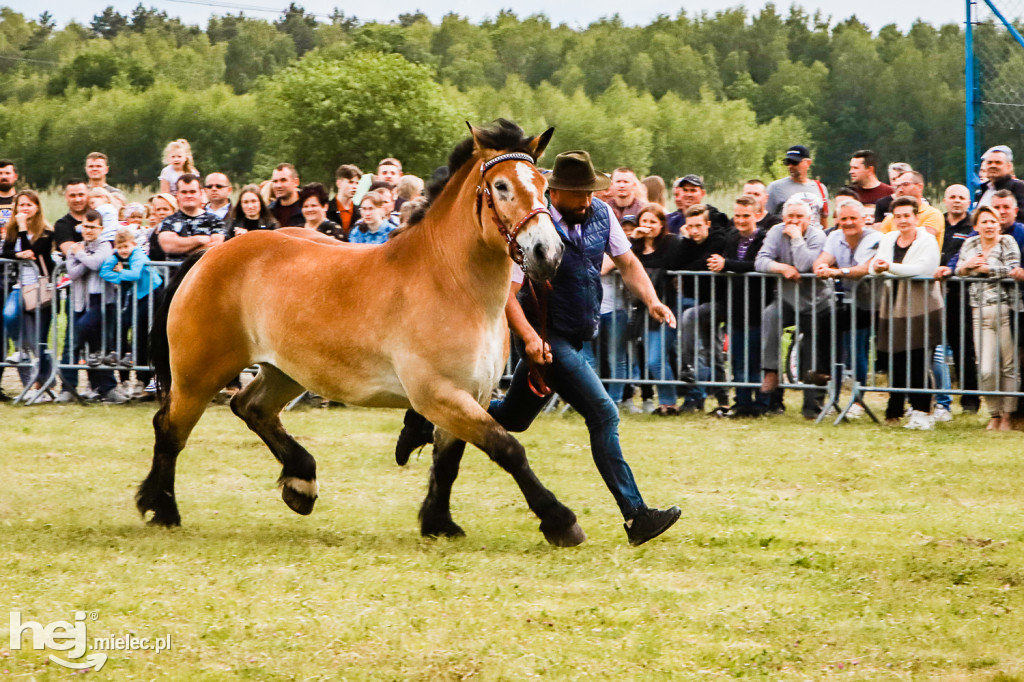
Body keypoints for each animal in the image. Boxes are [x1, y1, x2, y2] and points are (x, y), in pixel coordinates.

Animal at [134, 120, 593, 548]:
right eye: (501, 186)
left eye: (544, 187)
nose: (548, 254)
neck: (453, 284)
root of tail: (210, 253)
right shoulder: (440, 394)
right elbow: (507, 449)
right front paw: (560, 521)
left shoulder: (471, 395)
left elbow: (449, 462)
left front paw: (439, 523)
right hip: (199, 374)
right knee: (170, 428)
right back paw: (162, 509)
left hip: (286, 371)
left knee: (251, 407)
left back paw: (301, 484)